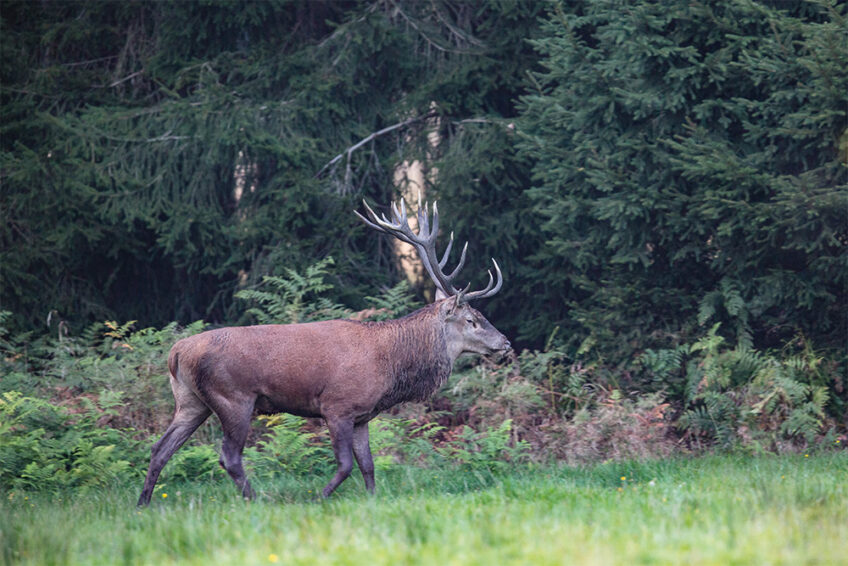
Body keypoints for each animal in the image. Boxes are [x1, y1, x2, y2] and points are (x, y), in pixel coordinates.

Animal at [137, 197, 510, 506]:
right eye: (472, 319)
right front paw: (319, 497)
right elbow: (345, 465)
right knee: (228, 456)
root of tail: (175, 353)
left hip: (191, 401)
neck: (391, 364)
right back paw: (255, 500)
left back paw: (143, 503)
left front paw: (373, 500)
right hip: (233, 398)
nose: (505, 344)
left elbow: (368, 465)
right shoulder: (337, 406)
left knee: (160, 448)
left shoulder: (362, 415)